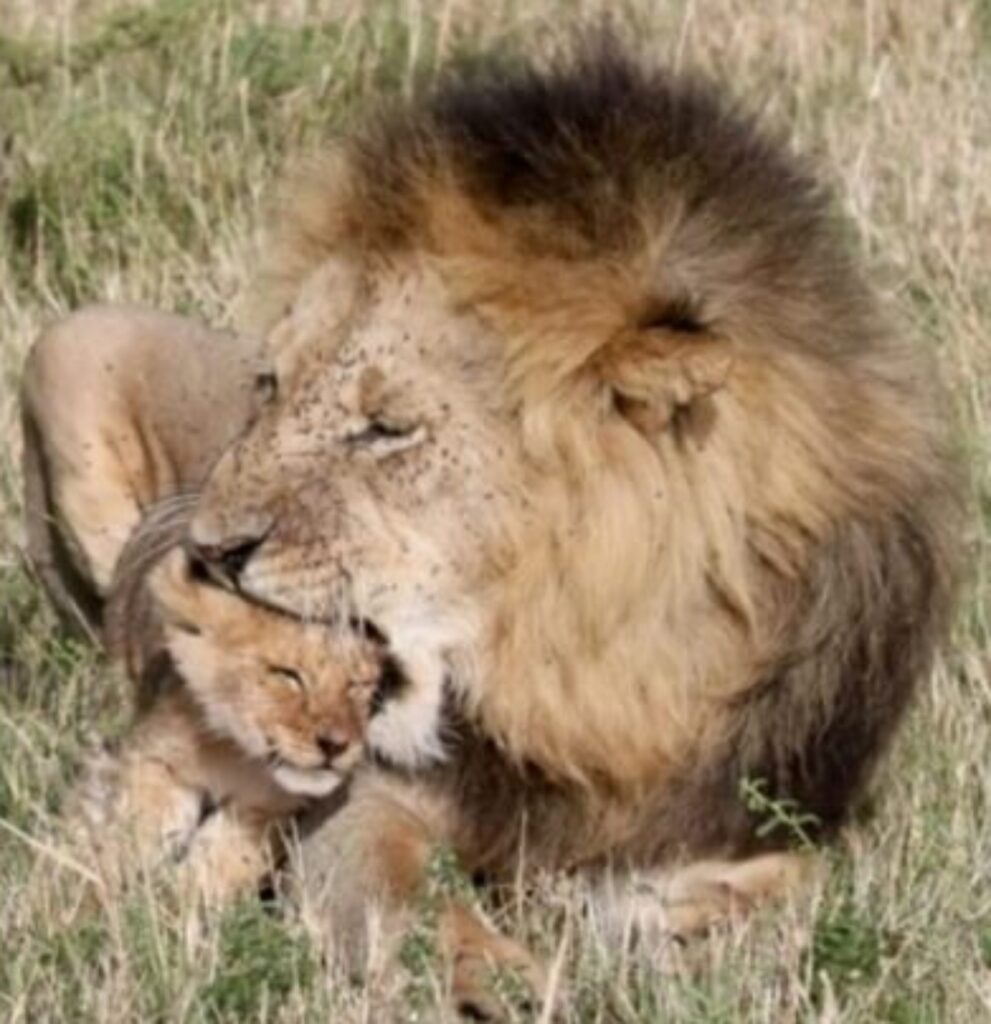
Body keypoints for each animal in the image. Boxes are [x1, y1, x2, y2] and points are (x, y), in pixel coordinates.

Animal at [25, 39, 958, 1015]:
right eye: (270, 386)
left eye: (386, 428)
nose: (209, 549)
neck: (590, 680)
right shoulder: (351, 805)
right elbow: (404, 900)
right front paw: (511, 985)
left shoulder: (765, 815)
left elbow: (787, 895)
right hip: (69, 350)